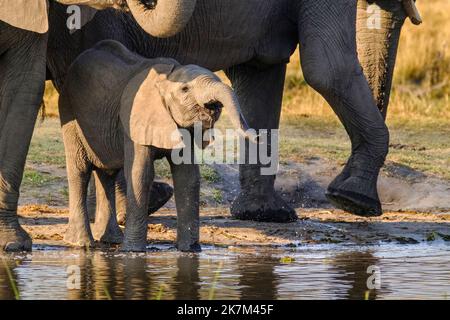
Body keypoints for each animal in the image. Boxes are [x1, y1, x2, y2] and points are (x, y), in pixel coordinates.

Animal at [59, 40, 256, 251]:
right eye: (185, 90)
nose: (258, 135)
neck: (168, 77)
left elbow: (188, 177)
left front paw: (190, 250)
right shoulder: (134, 121)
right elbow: (140, 174)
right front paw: (133, 251)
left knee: (106, 173)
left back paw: (111, 240)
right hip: (69, 109)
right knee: (80, 169)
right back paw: (81, 243)